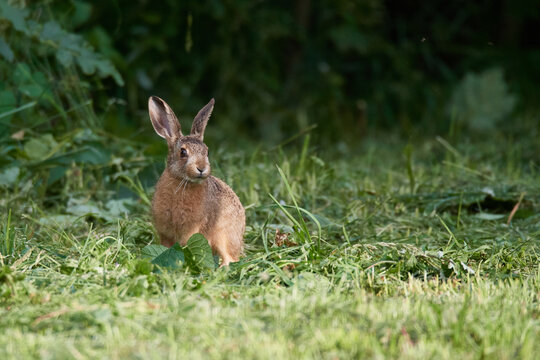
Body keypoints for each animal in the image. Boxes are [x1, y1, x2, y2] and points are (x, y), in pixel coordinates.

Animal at [150, 97, 247, 266]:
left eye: (207, 152)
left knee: (229, 258)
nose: (201, 168)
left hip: (222, 236)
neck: (181, 181)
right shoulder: (164, 232)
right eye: (183, 152)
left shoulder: (192, 229)